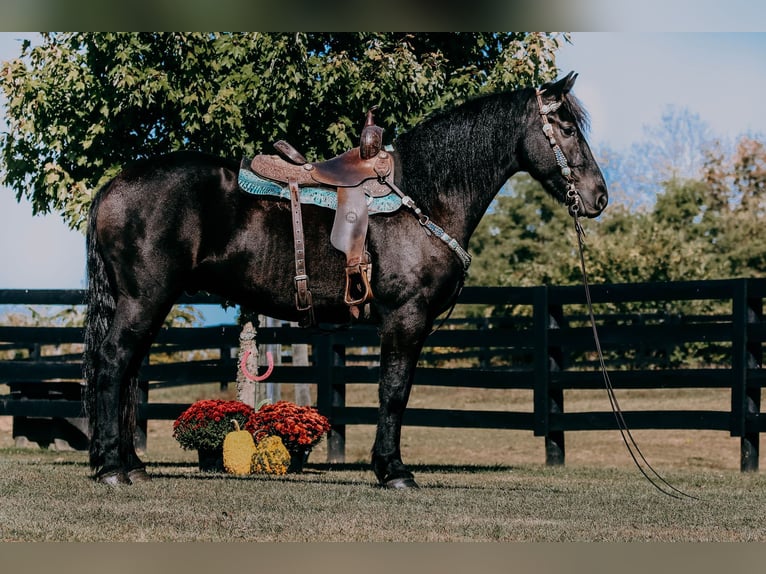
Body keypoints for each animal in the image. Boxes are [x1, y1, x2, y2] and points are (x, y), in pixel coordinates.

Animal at [84, 70, 608, 488]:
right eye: (565, 127)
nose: (598, 196)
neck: (422, 196)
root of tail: (112, 187)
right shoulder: (404, 318)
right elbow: (394, 393)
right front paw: (393, 471)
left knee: (129, 372)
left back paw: (131, 465)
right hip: (144, 299)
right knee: (113, 363)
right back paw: (111, 467)